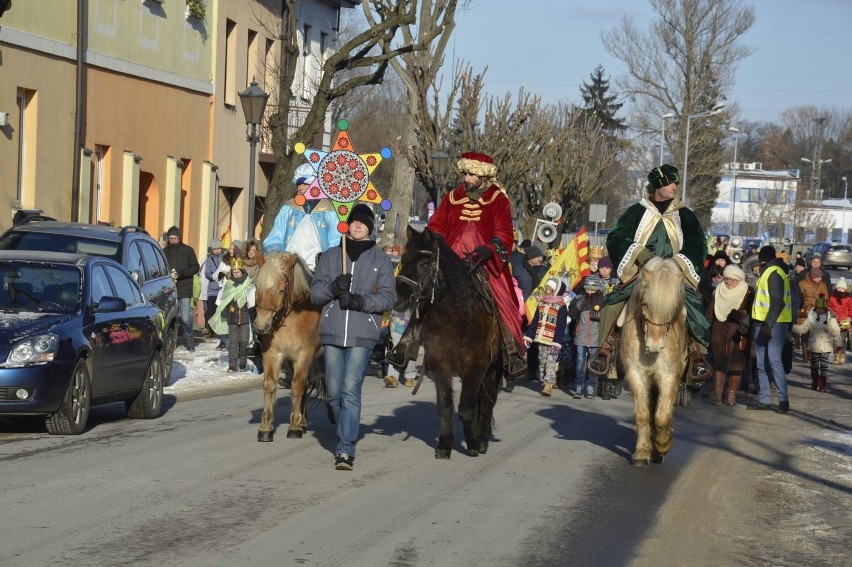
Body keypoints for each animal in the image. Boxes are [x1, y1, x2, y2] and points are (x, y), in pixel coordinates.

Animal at [253, 253, 322, 444]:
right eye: (257, 287)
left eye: (281, 290)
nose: (261, 326)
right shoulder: (272, 354)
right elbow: (270, 385)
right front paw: (266, 428)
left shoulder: (304, 355)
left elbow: (297, 386)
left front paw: (294, 427)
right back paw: (304, 421)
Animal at [394, 224, 502, 460]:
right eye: (403, 259)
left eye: (424, 262)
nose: (400, 298)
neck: (455, 319)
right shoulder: (440, 364)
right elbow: (445, 406)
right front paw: (444, 444)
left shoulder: (476, 367)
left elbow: (466, 408)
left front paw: (473, 443)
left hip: (492, 370)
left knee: (487, 403)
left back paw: (482, 439)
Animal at [616, 258, 688, 466]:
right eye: (645, 304)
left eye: (673, 309)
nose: (654, 345)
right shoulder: (635, 374)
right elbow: (643, 414)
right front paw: (642, 452)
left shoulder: (669, 376)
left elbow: (662, 417)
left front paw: (663, 444)